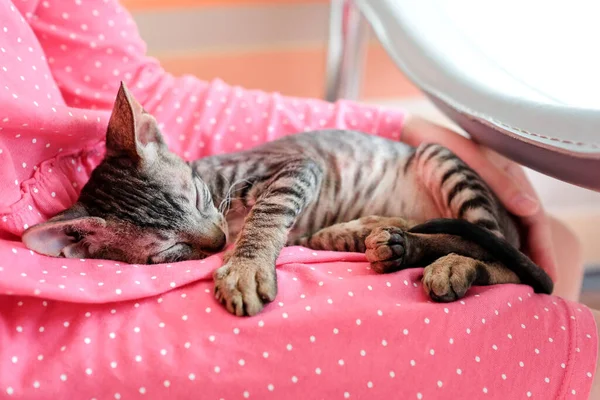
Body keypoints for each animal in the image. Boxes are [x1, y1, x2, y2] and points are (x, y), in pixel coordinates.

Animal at [22, 83, 548, 316]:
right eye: (171, 250)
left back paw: (449, 262)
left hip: (440, 158)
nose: (217, 241)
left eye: (199, 196)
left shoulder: (298, 167)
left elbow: (269, 212)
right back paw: (382, 238)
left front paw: (246, 267)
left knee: (501, 257)